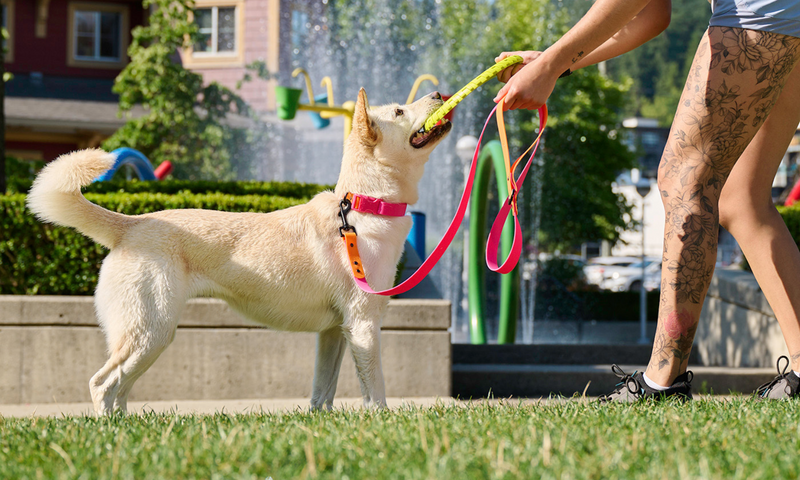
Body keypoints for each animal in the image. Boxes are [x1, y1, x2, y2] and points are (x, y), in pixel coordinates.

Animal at [26, 89, 450, 412]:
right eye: (398, 111)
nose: (440, 94)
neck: (363, 206)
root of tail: (131, 224)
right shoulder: (363, 324)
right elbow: (375, 391)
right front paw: (380, 422)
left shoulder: (334, 331)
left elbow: (322, 393)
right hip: (150, 331)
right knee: (103, 383)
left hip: (149, 338)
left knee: (119, 390)